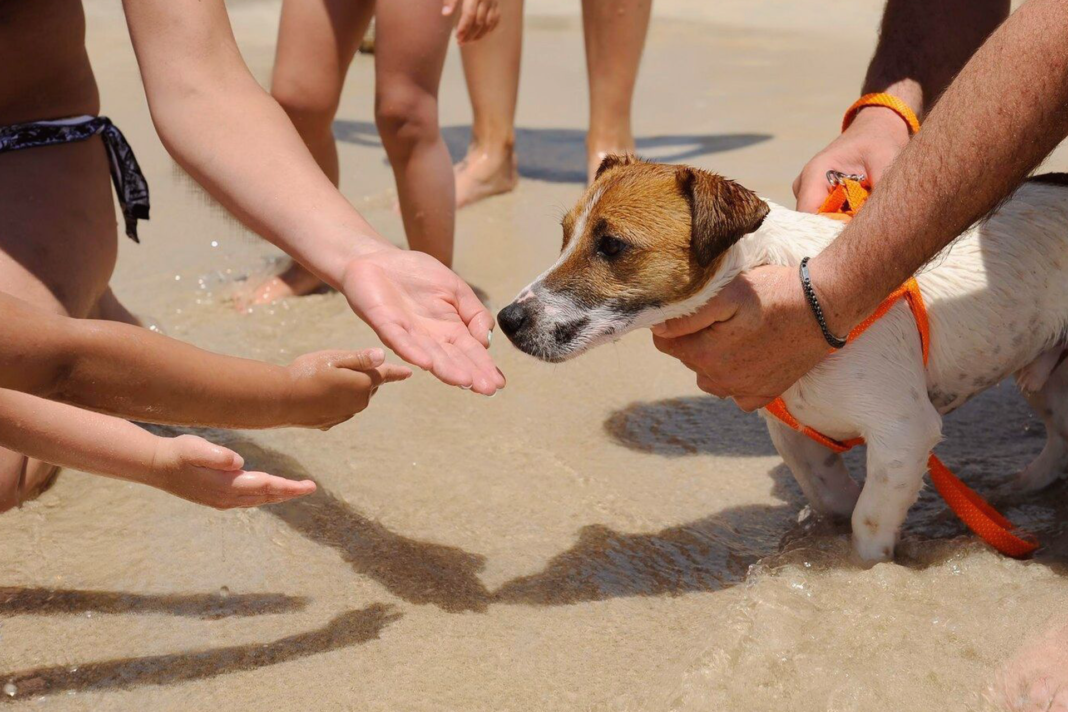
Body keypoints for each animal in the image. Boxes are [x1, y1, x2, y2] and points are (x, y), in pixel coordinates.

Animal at [497, 155, 1068, 563]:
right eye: (565, 235)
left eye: (612, 245)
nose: (506, 319)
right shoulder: (799, 436)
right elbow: (834, 499)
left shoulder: (905, 433)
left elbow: (867, 523)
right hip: (1048, 383)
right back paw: (1019, 488)